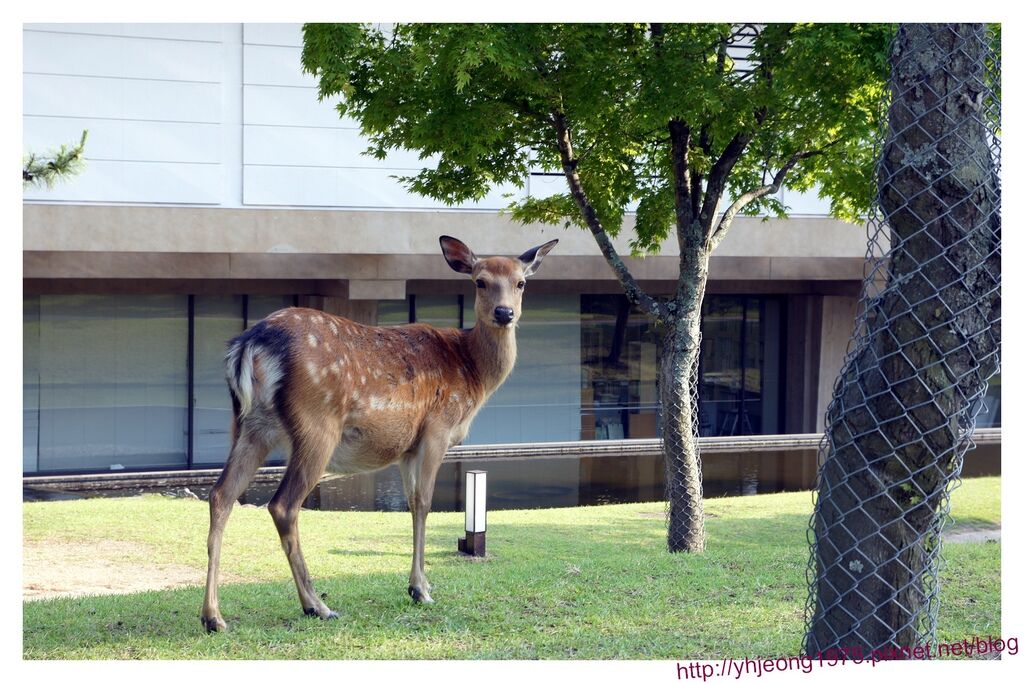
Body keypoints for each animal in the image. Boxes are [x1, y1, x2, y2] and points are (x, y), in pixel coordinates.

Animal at [200, 237, 561, 634]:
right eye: (480, 282)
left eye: (521, 283)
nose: (504, 313)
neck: (472, 374)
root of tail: (249, 344)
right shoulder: (437, 429)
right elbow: (425, 502)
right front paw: (421, 589)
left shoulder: (406, 448)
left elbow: (411, 503)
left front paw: (417, 585)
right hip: (316, 424)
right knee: (282, 504)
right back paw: (316, 605)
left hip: (249, 425)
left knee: (221, 495)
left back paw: (213, 616)